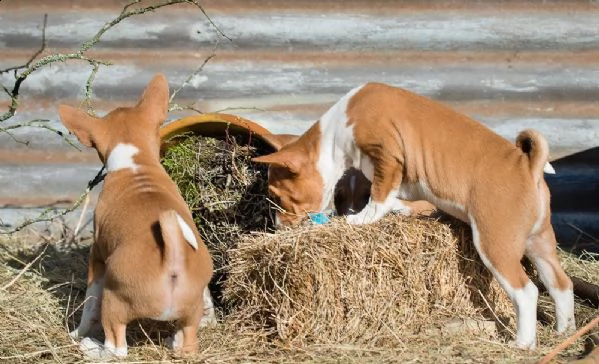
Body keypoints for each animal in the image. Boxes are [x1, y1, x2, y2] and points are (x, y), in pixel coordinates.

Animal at [58, 74, 216, 358]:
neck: (135, 161)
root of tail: (172, 260)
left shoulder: (97, 259)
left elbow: (89, 305)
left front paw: (77, 334)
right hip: (191, 313)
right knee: (188, 345)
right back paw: (175, 342)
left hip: (114, 303)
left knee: (117, 349)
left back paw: (91, 348)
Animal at [253, 82, 576, 350]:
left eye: (278, 197)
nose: (276, 226)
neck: (336, 133)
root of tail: (529, 167)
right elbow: (389, 195)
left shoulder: (387, 155)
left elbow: (379, 196)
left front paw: (360, 218)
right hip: (540, 244)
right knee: (561, 285)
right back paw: (565, 332)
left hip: (495, 244)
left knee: (527, 292)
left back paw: (522, 344)